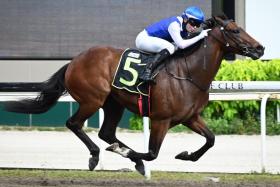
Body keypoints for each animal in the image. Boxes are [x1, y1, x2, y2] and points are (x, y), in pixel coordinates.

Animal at [4, 15, 264, 175]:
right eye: (235, 30)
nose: (260, 48)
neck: (188, 73)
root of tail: (73, 61)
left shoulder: (190, 117)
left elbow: (210, 139)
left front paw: (186, 155)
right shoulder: (161, 119)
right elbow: (152, 153)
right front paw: (127, 153)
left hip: (113, 104)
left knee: (106, 132)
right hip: (92, 99)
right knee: (74, 123)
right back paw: (96, 156)